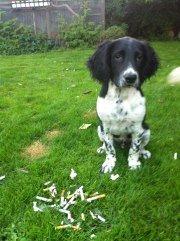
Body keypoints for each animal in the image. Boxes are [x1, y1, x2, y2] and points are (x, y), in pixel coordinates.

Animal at [87, 36, 159, 172]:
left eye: (139, 57)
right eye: (117, 56)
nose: (130, 78)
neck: (121, 96)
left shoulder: (138, 129)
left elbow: (135, 148)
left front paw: (134, 163)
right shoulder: (105, 127)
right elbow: (109, 148)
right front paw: (109, 164)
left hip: (146, 130)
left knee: (141, 146)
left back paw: (144, 152)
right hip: (99, 129)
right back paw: (101, 149)